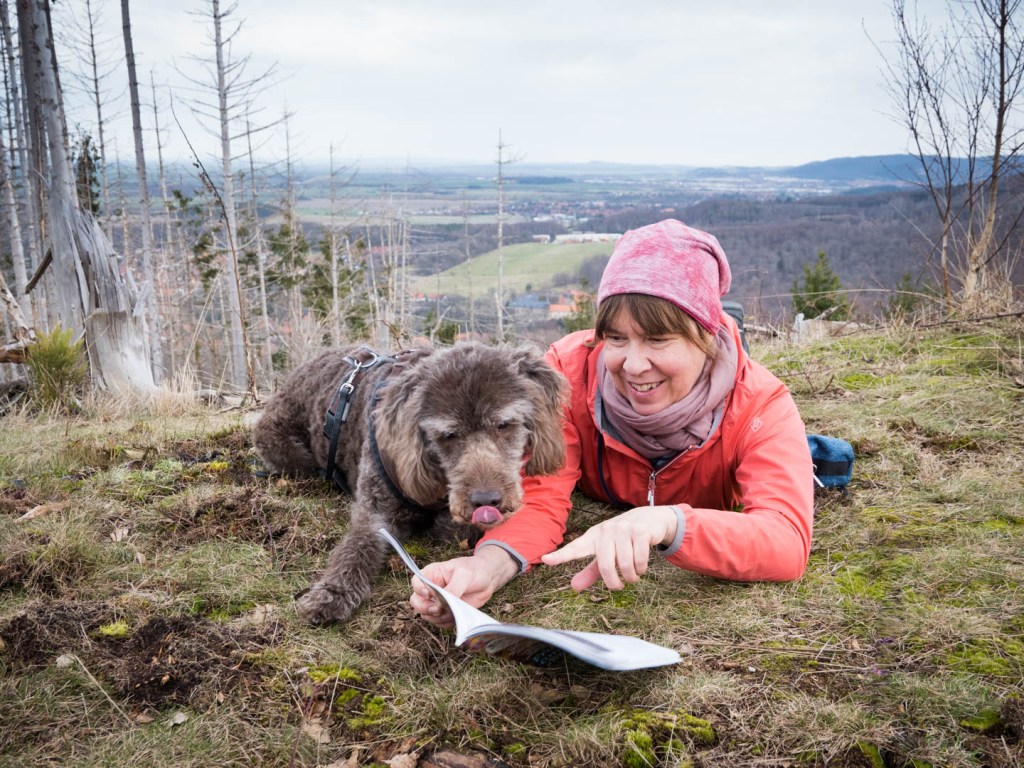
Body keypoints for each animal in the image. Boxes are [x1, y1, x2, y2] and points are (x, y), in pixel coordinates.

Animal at [252, 341, 567, 624]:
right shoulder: (373, 510)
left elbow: (452, 527)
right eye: (448, 435)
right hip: (288, 450)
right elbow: (355, 548)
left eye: (503, 425)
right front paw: (331, 594)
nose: (486, 500)